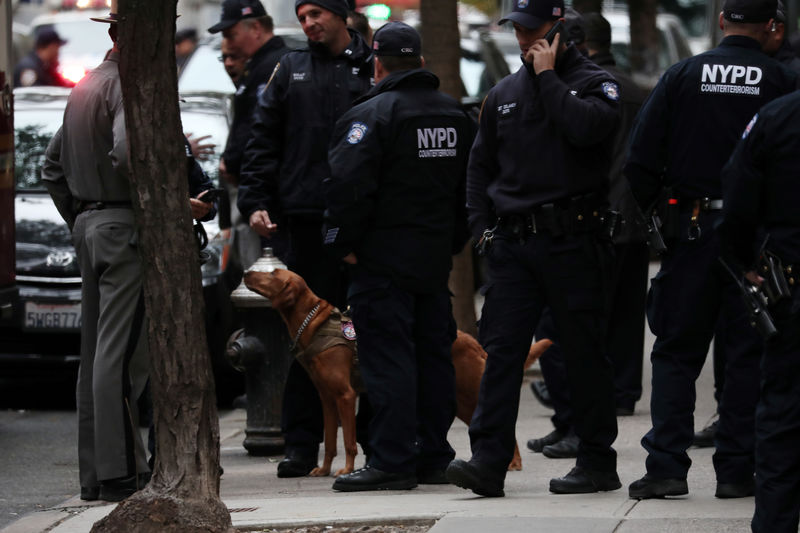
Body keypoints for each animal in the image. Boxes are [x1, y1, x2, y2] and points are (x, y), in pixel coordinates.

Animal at [242, 268, 552, 476]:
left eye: (272, 273)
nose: (245, 272)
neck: (314, 324)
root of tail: (473, 341)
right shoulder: (327, 400)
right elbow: (330, 441)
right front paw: (324, 469)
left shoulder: (345, 395)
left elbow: (349, 441)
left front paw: (347, 470)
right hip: (460, 400)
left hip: (471, 391)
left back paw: (512, 462)